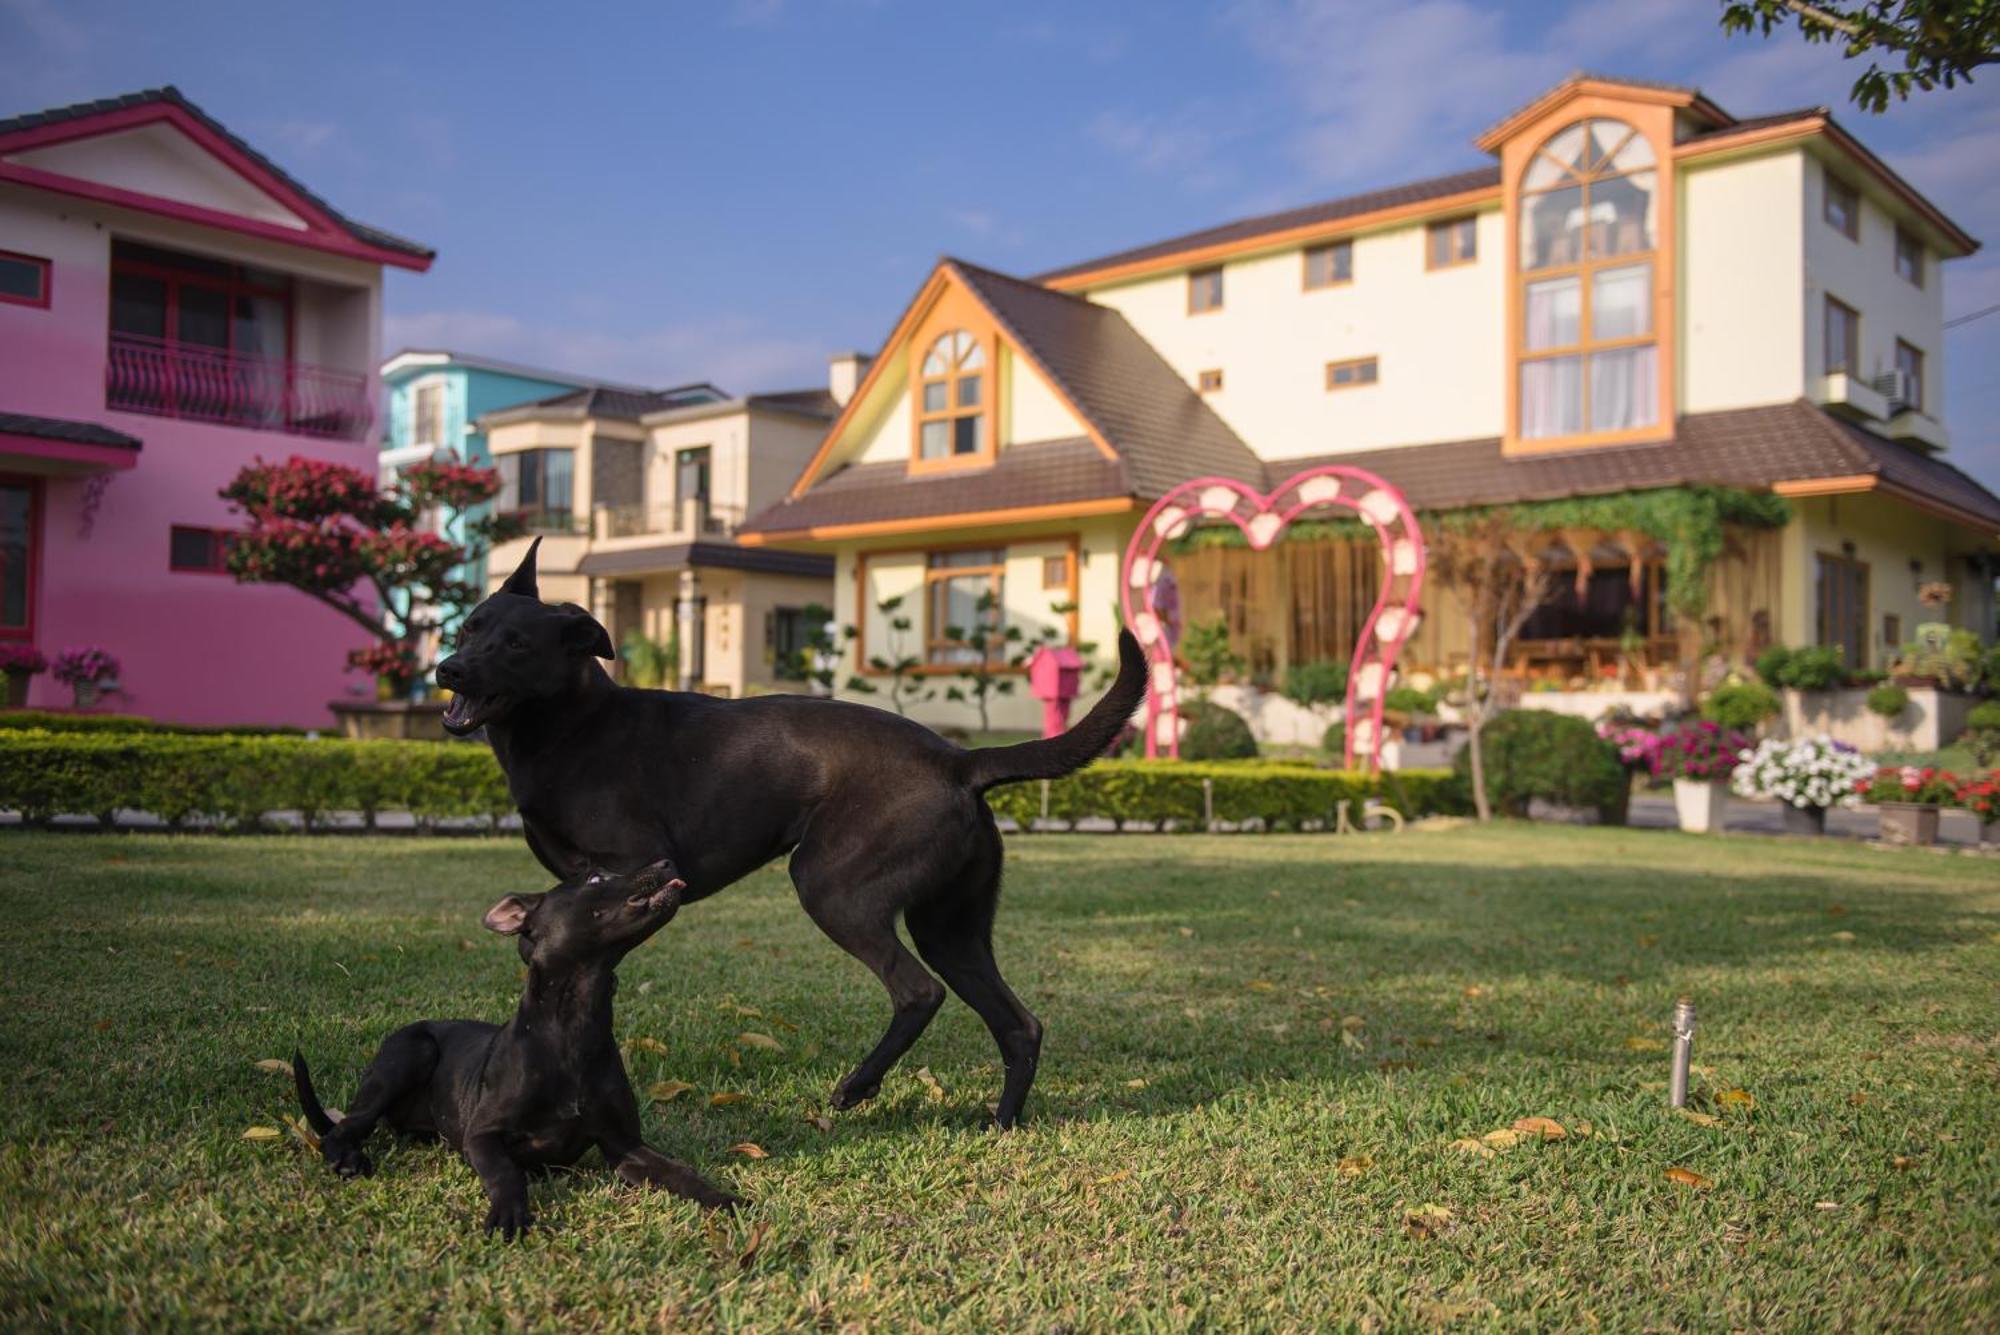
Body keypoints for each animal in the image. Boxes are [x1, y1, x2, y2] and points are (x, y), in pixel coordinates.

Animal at [292, 859, 740, 1239]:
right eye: (596, 878)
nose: (668, 861)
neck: (573, 1028)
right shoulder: (483, 1136)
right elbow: (507, 1174)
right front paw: (509, 1213)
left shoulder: (625, 1147)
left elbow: (680, 1173)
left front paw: (726, 1200)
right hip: (411, 1052)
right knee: (346, 1126)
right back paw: (348, 1158)